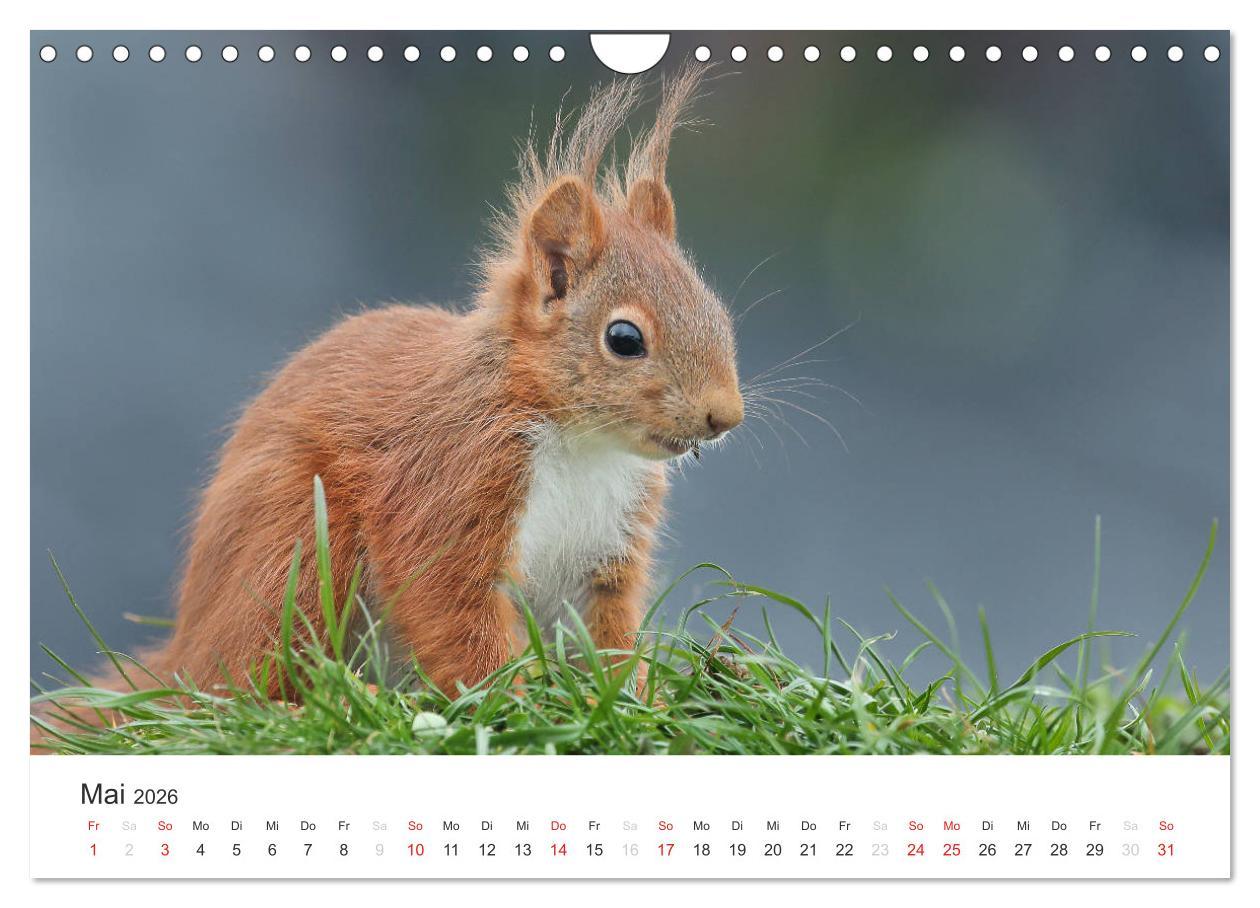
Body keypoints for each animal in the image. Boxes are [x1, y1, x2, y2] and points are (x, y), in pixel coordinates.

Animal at [63, 66, 743, 712]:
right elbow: (448, 604)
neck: (583, 445)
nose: (725, 416)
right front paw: (510, 701)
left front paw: (641, 697)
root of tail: (185, 645)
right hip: (295, 539)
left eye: (716, 308)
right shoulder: (451, 475)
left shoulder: (606, 551)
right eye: (624, 339)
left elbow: (605, 638)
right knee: (237, 679)